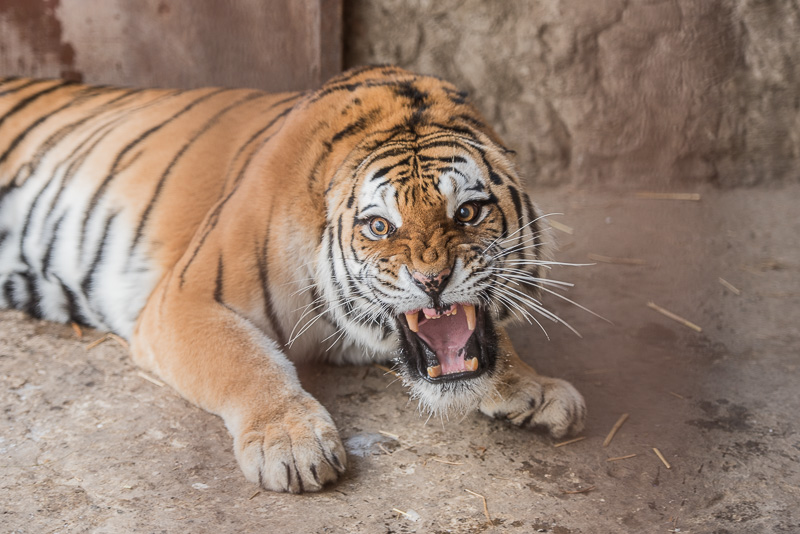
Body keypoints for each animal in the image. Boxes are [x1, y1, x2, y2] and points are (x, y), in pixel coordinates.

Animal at [0, 66, 585, 493]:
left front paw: (533, 386)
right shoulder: (185, 299)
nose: (433, 280)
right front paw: (290, 441)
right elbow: (246, 362)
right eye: (380, 226)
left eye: (467, 212)